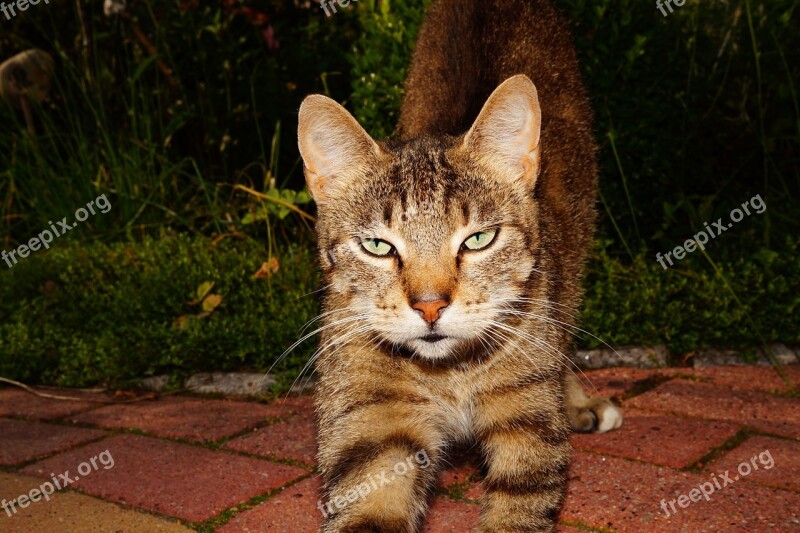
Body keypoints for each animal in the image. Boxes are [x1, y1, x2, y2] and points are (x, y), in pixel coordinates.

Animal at [296, 1, 620, 528]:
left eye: (479, 240)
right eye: (378, 246)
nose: (430, 307)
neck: (447, 373)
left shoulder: (527, 425)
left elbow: (519, 508)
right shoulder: (372, 432)